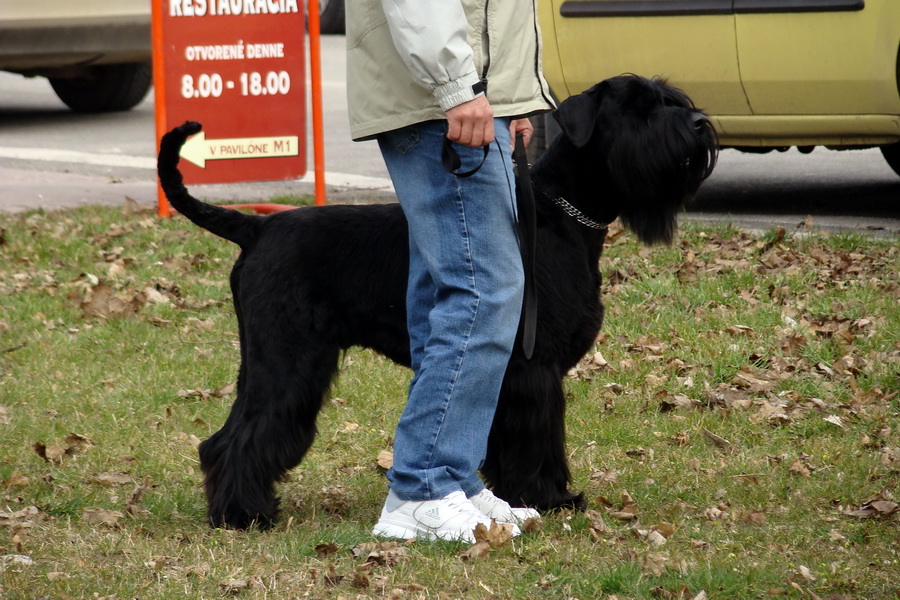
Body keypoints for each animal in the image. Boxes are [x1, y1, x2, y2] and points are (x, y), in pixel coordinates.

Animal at [156, 75, 716, 528]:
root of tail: (256, 227)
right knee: (244, 435)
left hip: (267, 358)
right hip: (288, 359)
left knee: (226, 437)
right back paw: (242, 515)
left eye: (670, 99)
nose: (700, 122)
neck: (560, 214)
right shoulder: (533, 369)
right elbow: (537, 438)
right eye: (638, 108)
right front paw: (549, 498)